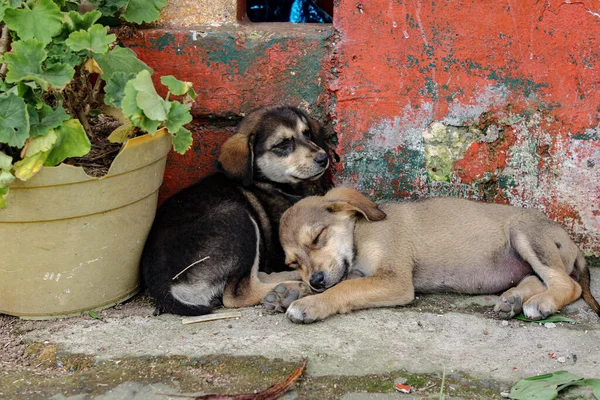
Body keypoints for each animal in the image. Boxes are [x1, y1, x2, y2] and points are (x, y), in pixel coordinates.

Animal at [141, 105, 328, 316]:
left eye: (306, 133)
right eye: (282, 144)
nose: (323, 158)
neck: (267, 182)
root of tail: (163, 286)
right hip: (238, 217)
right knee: (238, 293)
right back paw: (292, 290)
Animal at [268, 186, 600, 324]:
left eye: (318, 237)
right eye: (294, 262)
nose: (316, 282)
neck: (359, 233)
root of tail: (572, 243)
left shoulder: (395, 279)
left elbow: (345, 287)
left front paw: (309, 304)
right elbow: (345, 281)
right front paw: (289, 291)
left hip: (524, 233)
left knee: (567, 285)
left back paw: (540, 303)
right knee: (537, 279)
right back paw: (514, 300)